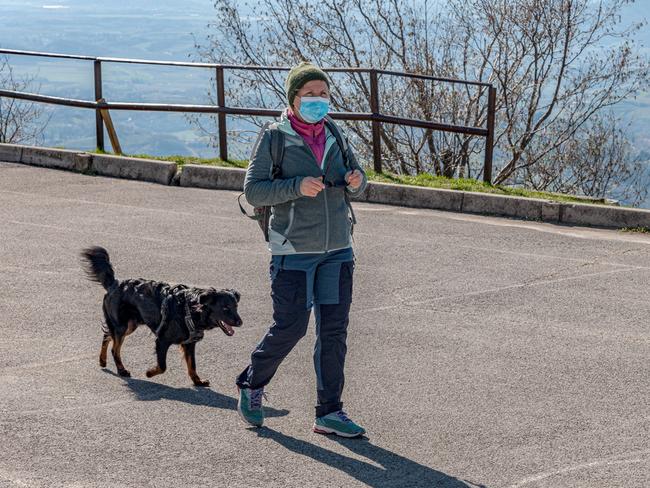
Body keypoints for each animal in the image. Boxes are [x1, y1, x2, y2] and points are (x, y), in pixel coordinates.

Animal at [81, 246, 242, 386]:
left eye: (236, 307)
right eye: (225, 308)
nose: (240, 322)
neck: (189, 309)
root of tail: (114, 283)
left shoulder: (189, 344)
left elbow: (192, 365)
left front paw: (198, 381)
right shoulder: (162, 340)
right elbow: (163, 366)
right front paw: (149, 373)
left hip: (129, 325)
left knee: (107, 336)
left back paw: (102, 360)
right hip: (122, 326)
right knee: (115, 349)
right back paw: (121, 370)